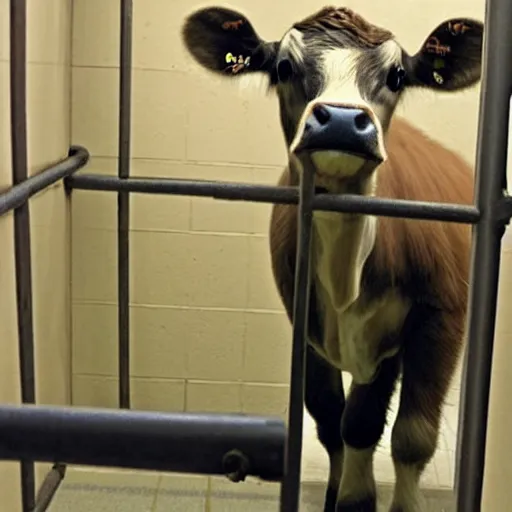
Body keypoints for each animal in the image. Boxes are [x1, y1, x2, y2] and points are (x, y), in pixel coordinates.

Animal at [182, 5, 482, 512]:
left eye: (397, 75)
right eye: (284, 67)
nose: (341, 121)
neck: (348, 280)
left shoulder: (440, 319)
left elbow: (409, 436)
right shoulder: (307, 326)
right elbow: (334, 423)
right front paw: (342, 496)